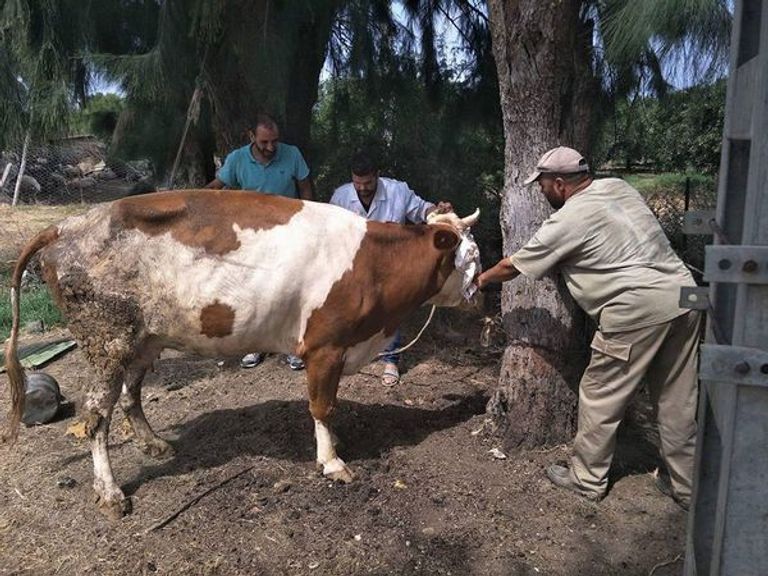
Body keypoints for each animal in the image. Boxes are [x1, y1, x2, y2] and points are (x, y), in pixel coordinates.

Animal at [3, 189, 476, 516]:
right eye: (470, 255)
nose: (482, 292)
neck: (375, 264)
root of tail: (68, 224)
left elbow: (329, 407)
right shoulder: (325, 347)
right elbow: (322, 406)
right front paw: (331, 461)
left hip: (141, 339)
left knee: (130, 395)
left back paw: (153, 442)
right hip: (106, 339)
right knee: (96, 415)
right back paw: (109, 491)